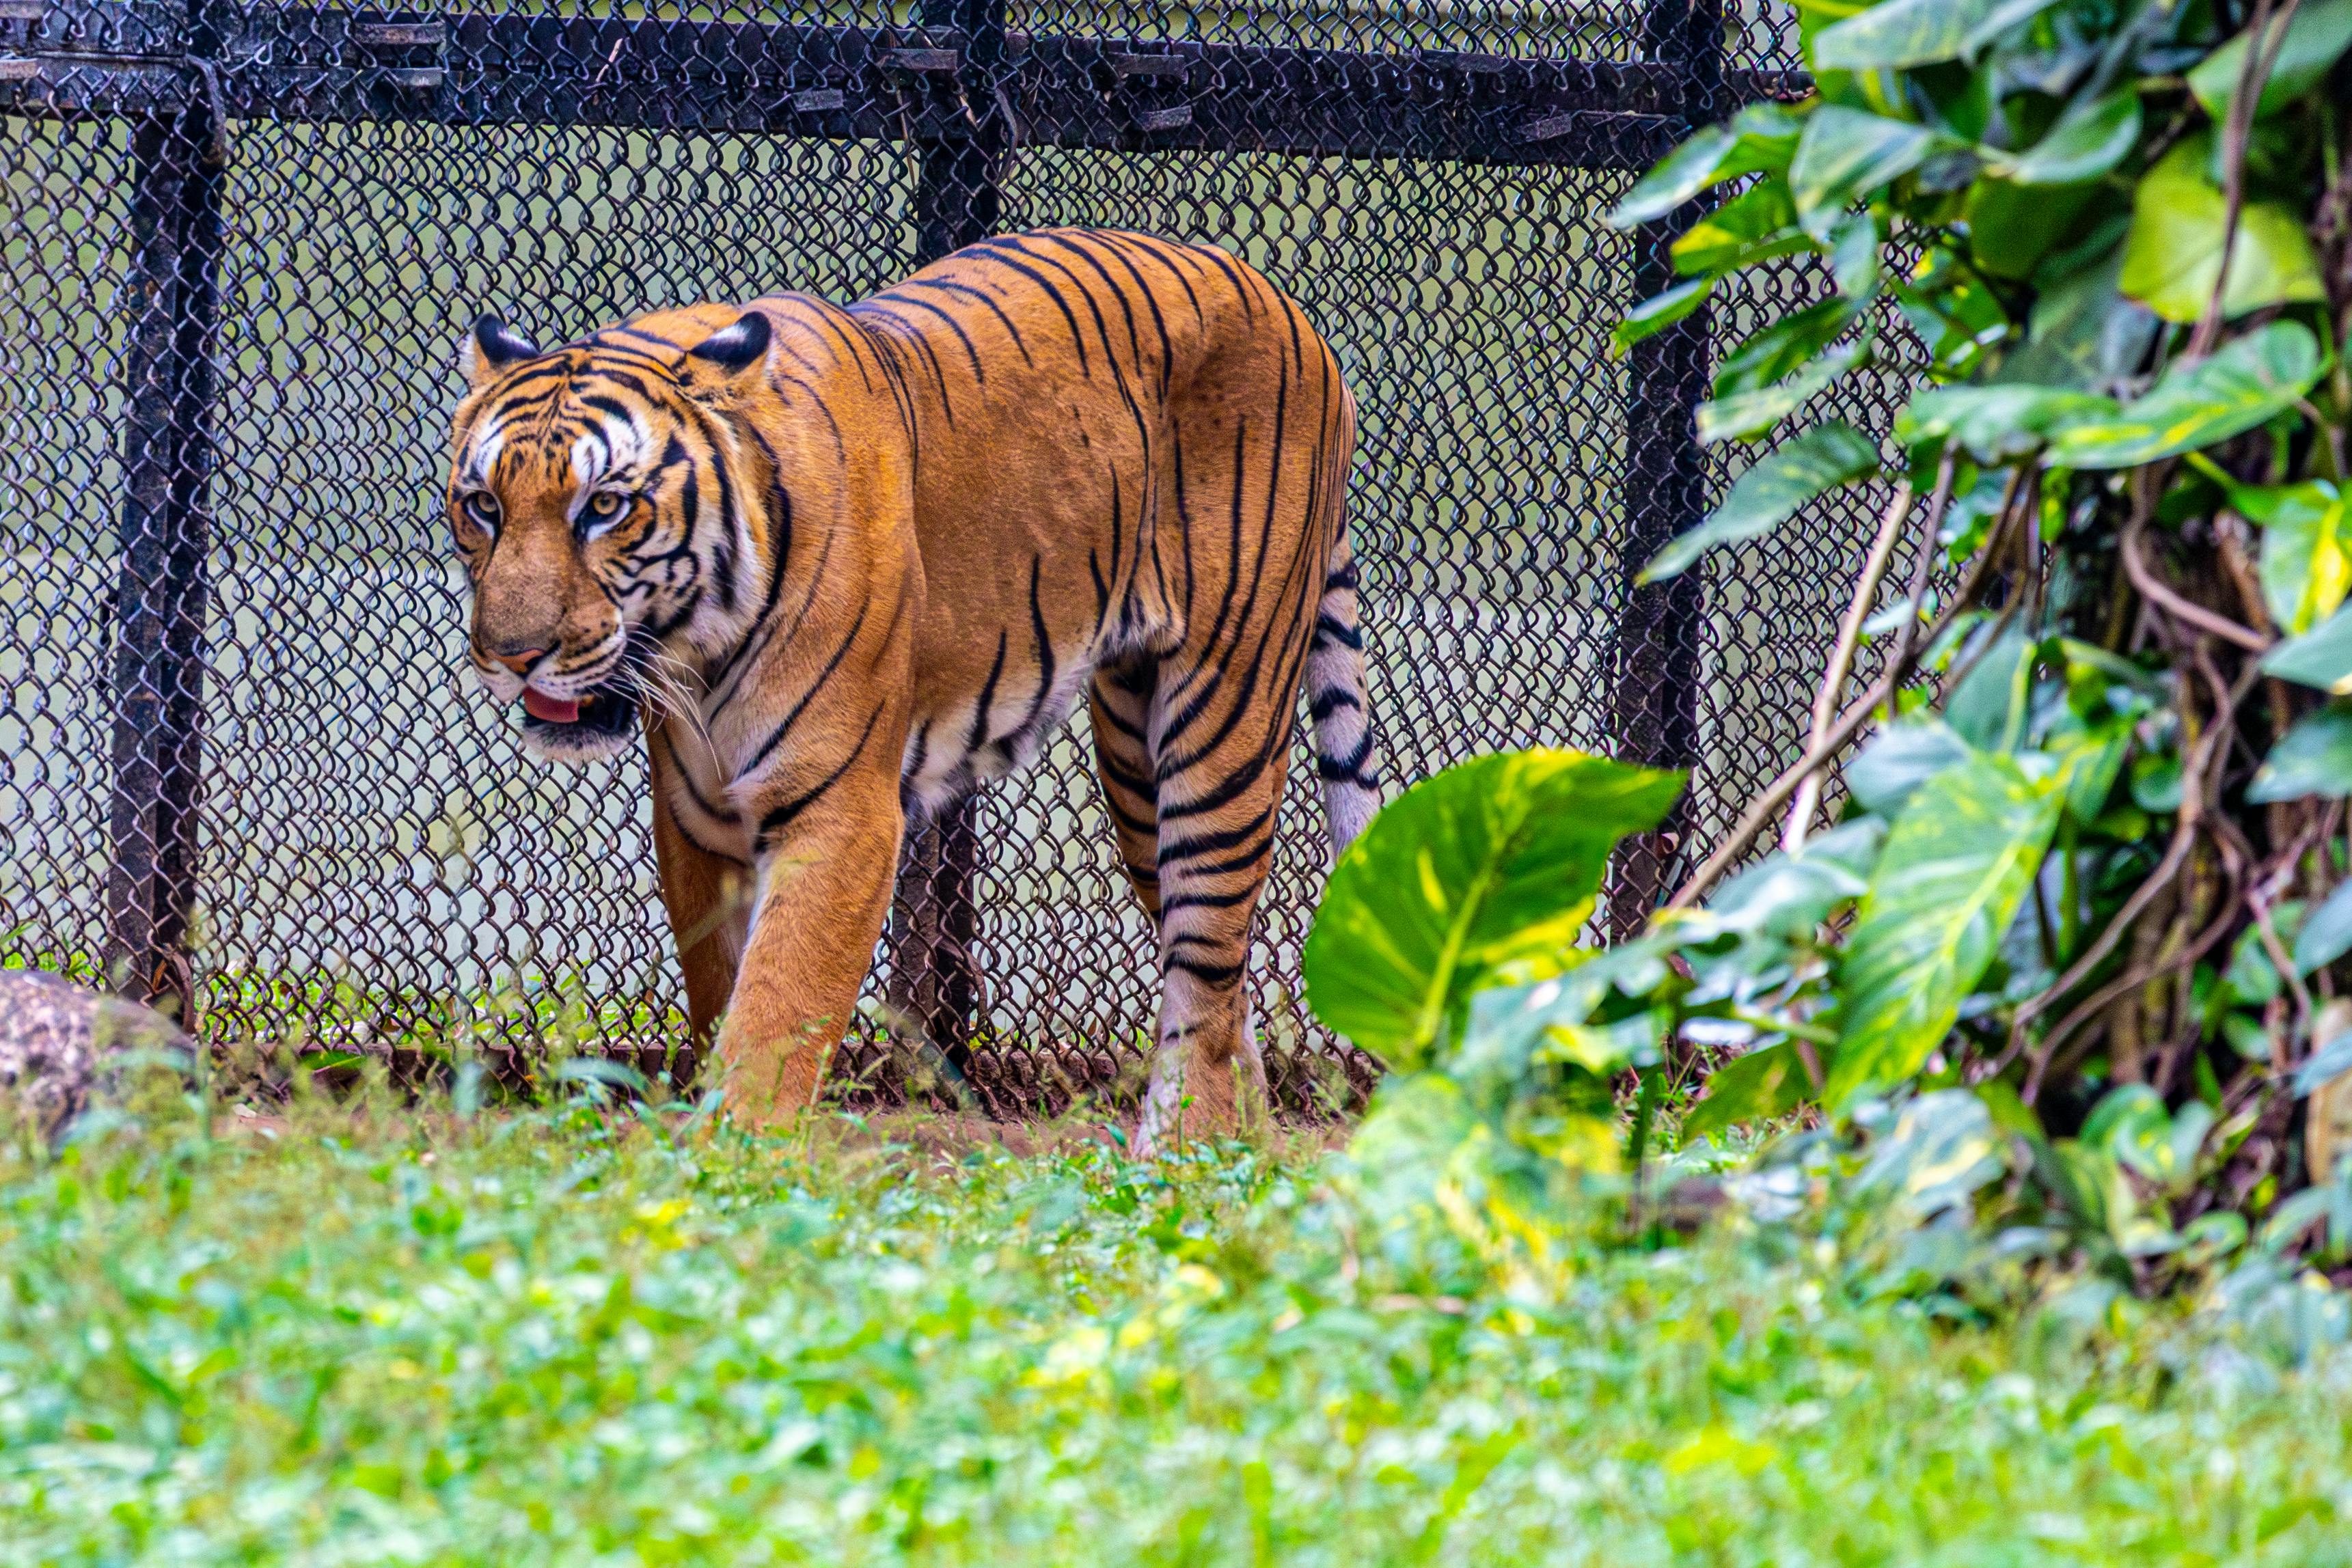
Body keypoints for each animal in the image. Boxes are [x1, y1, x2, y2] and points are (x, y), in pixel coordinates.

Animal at [444, 228, 1380, 1154]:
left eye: (604, 506)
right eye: (484, 505)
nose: (512, 655)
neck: (697, 653)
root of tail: (1291, 310)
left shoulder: (839, 810)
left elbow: (775, 1013)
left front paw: (732, 1160)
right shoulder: (697, 817)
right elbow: (723, 994)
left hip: (1224, 710)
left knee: (1209, 950)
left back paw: (1180, 1153)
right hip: (1132, 753)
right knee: (1220, 978)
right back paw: (1233, 1146)